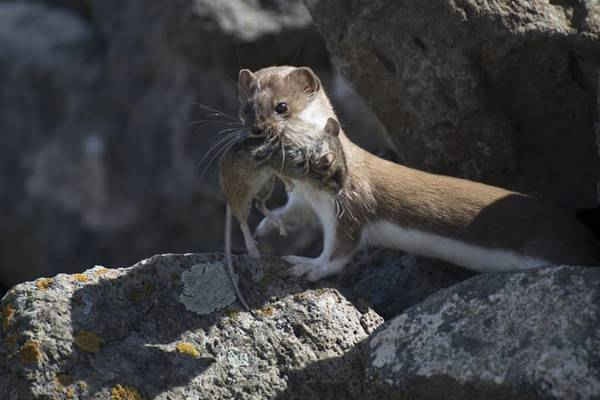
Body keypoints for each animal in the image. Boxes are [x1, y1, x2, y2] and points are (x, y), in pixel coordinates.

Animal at [237, 65, 596, 282]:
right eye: (246, 108)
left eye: (282, 106)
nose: (257, 129)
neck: (313, 189)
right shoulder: (305, 197)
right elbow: (294, 212)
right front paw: (267, 225)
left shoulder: (349, 200)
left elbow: (340, 249)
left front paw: (306, 265)